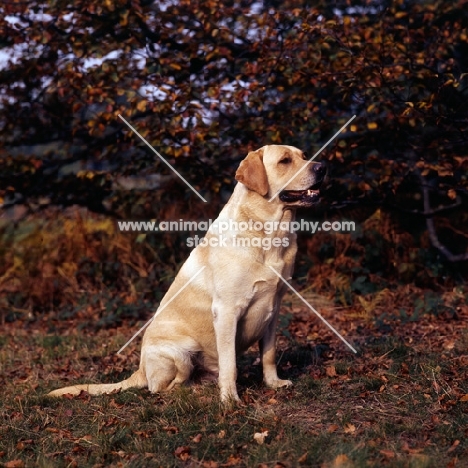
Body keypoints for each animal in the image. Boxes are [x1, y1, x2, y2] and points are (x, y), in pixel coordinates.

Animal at [47, 145, 326, 402]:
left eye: (304, 155)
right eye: (285, 161)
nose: (322, 167)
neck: (270, 232)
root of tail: (140, 369)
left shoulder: (273, 307)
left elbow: (268, 355)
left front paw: (273, 383)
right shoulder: (226, 311)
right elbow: (230, 365)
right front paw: (230, 399)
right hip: (181, 352)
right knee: (161, 387)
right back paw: (187, 390)